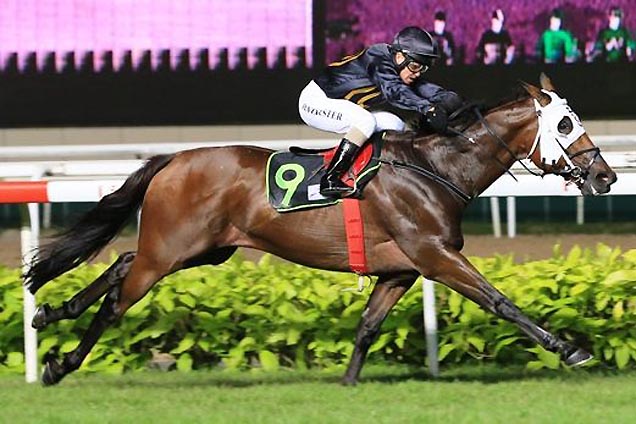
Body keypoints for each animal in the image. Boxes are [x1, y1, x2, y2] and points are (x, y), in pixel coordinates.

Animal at [24, 74, 616, 386]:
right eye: (566, 124)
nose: (606, 176)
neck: (436, 168)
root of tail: (173, 159)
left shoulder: (400, 270)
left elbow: (368, 327)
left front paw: (348, 383)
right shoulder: (435, 256)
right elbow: (500, 301)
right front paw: (570, 350)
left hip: (200, 249)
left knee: (121, 264)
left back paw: (50, 312)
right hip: (170, 250)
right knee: (118, 299)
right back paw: (59, 364)